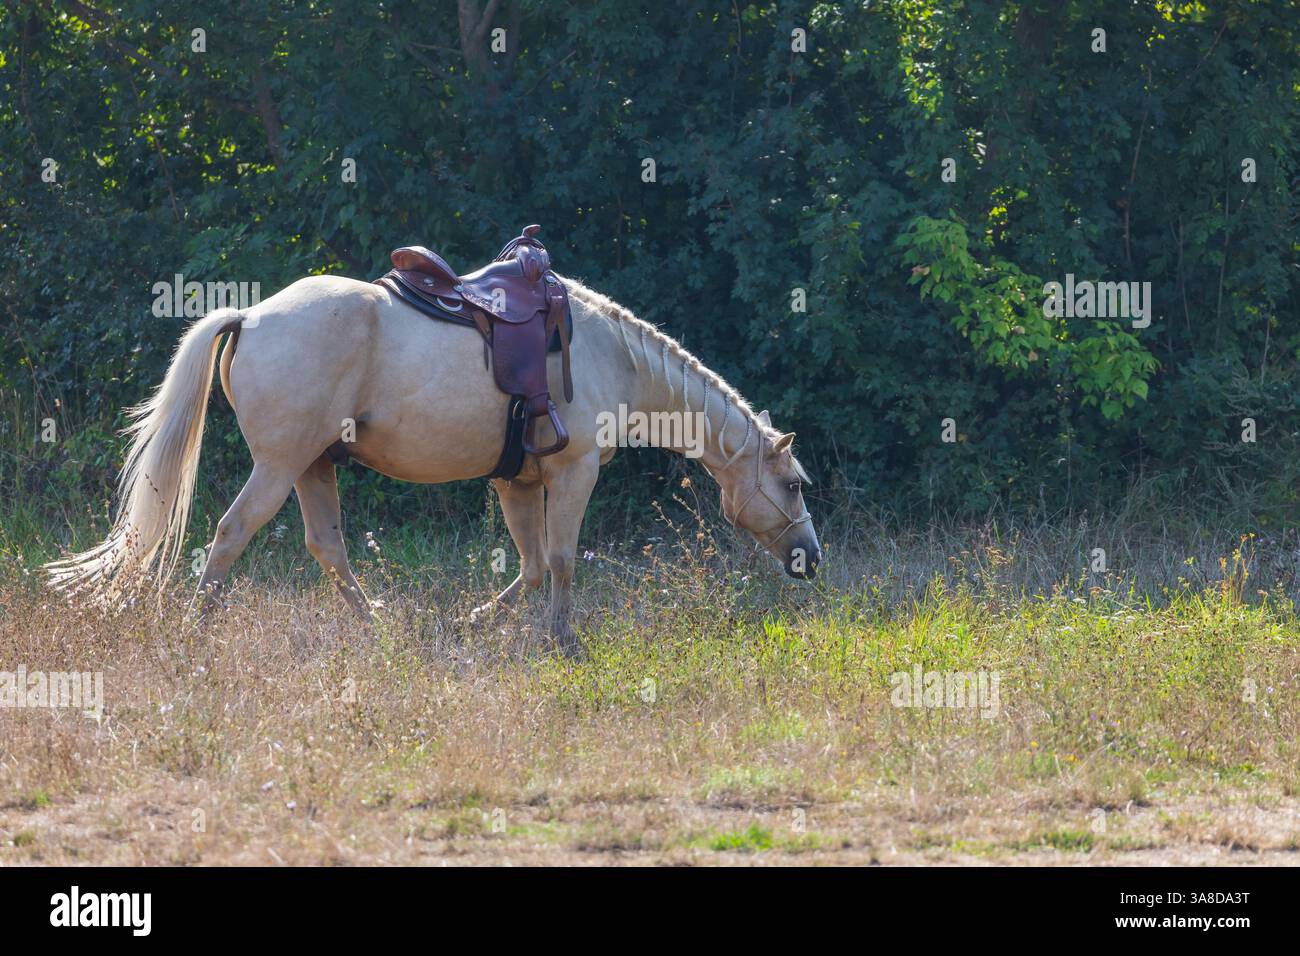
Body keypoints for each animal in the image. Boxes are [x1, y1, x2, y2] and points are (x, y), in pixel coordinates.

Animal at [45, 271, 822, 651]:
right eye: (792, 484)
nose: (811, 558)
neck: (611, 356)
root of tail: (252, 316)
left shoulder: (517, 480)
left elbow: (531, 566)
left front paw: (475, 623)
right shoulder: (572, 473)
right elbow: (562, 560)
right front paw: (564, 642)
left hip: (312, 468)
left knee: (328, 549)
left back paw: (378, 628)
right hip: (278, 467)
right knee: (231, 535)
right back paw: (193, 631)